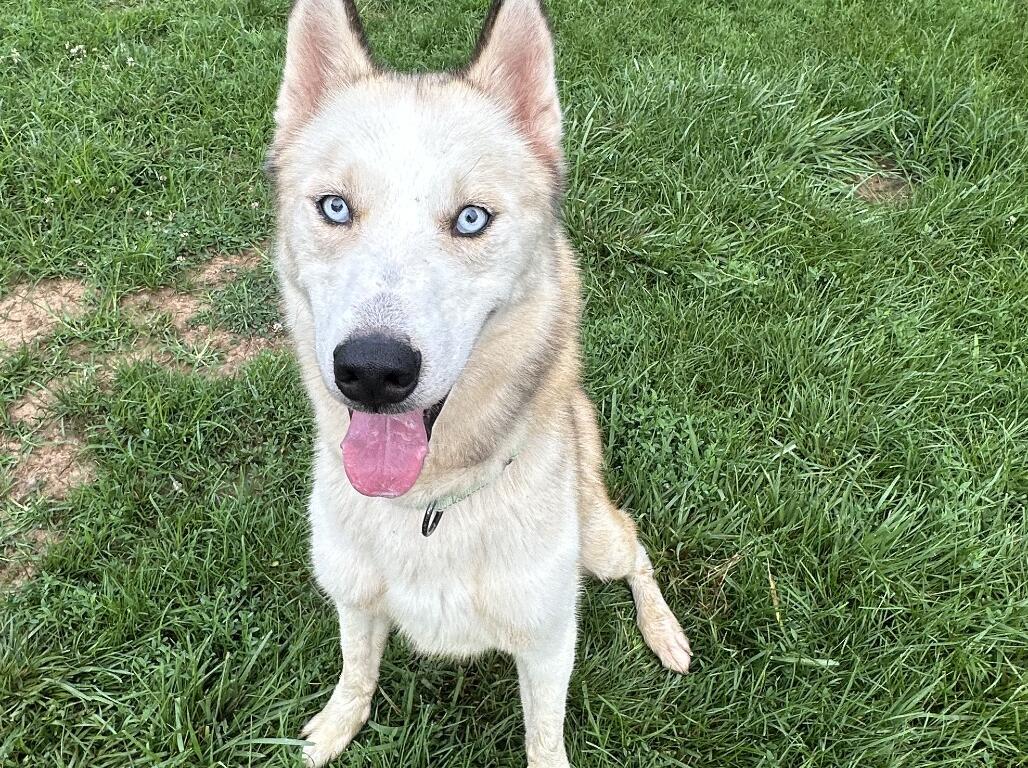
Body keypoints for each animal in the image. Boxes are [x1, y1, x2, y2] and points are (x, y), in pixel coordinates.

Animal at [268, 1, 692, 765]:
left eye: (471, 219)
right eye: (335, 207)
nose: (372, 370)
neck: (429, 506)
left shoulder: (549, 640)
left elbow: (544, 735)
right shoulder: (354, 599)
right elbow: (356, 671)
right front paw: (335, 728)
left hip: (599, 543)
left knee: (637, 548)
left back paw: (664, 631)